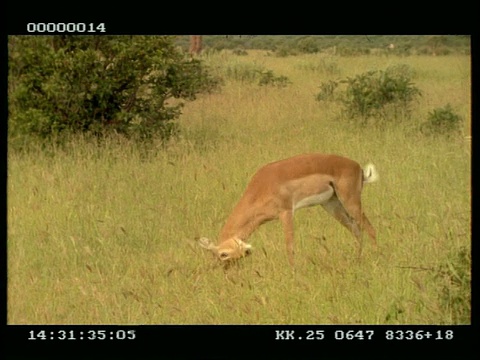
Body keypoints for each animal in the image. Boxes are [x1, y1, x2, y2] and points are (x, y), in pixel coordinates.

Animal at [199, 153, 378, 266]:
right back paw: (357, 261)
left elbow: (290, 246)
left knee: (370, 228)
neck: (260, 187)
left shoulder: (286, 212)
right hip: (331, 205)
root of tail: (359, 168)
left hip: (351, 201)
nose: (225, 270)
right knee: (356, 230)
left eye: (223, 255)